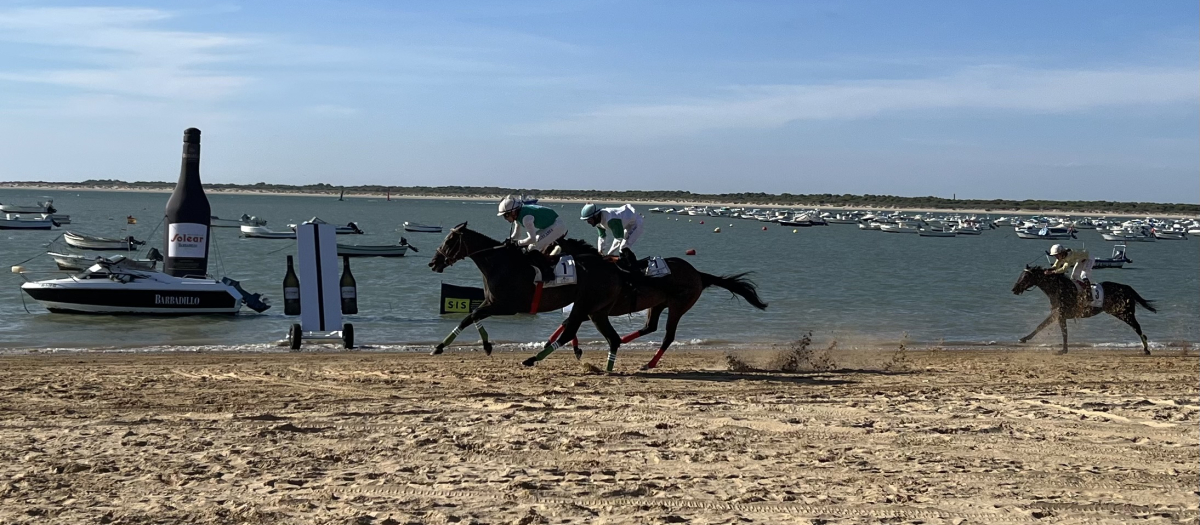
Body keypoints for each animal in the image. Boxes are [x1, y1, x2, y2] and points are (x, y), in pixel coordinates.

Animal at [432, 221, 633, 364]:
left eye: (449, 241)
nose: (433, 262)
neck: (500, 263)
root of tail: (614, 268)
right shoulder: (490, 302)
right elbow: (468, 317)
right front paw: (440, 346)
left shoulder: (506, 306)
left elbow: (473, 315)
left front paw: (486, 346)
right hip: (596, 310)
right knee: (611, 338)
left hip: (585, 305)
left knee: (571, 331)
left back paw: (533, 359)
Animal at [552, 237, 768, 369]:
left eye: (554, 251)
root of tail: (698, 274)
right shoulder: (594, 310)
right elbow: (566, 323)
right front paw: (567, 346)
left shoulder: (597, 310)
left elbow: (568, 323)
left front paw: (574, 348)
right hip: (657, 305)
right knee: (650, 327)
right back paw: (625, 341)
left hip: (678, 306)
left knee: (668, 336)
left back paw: (649, 363)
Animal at [1012, 264, 1152, 354]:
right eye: (1021, 275)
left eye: (1026, 277)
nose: (1014, 289)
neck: (1059, 288)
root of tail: (1126, 288)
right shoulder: (1056, 313)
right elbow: (1041, 326)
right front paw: (1024, 338)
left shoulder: (1061, 314)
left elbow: (1064, 332)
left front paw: (1063, 350)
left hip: (1125, 313)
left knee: (1137, 327)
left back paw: (1146, 349)